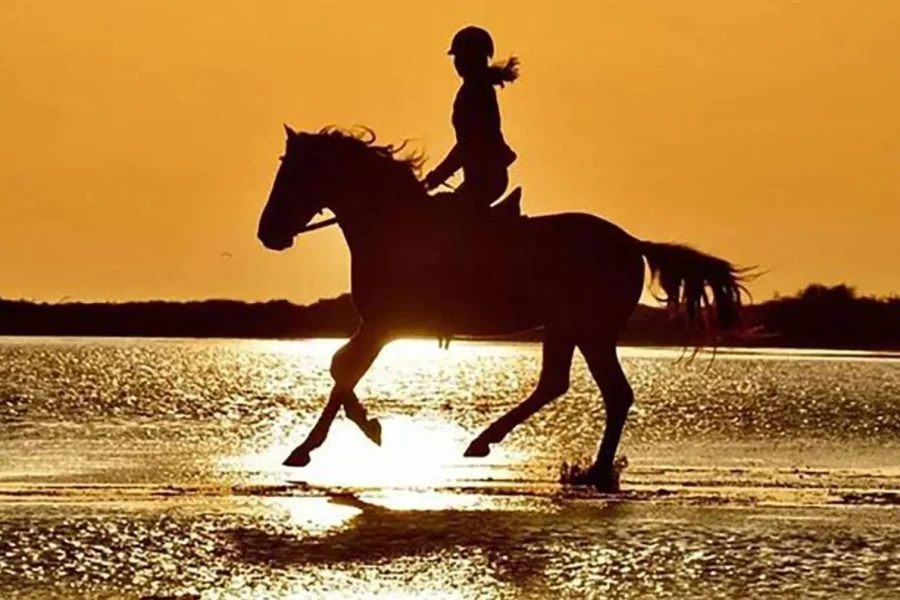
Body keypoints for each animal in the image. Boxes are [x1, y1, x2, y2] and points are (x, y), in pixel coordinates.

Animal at [257, 125, 746, 491]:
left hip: (590, 330)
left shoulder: (384, 326)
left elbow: (344, 370)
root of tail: (632, 244)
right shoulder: (376, 325)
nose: (267, 233)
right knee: (558, 384)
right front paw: (348, 433)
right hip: (566, 327)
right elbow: (341, 368)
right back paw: (499, 445)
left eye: (293, 173)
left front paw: (320, 444)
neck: (391, 225)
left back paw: (590, 470)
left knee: (613, 393)